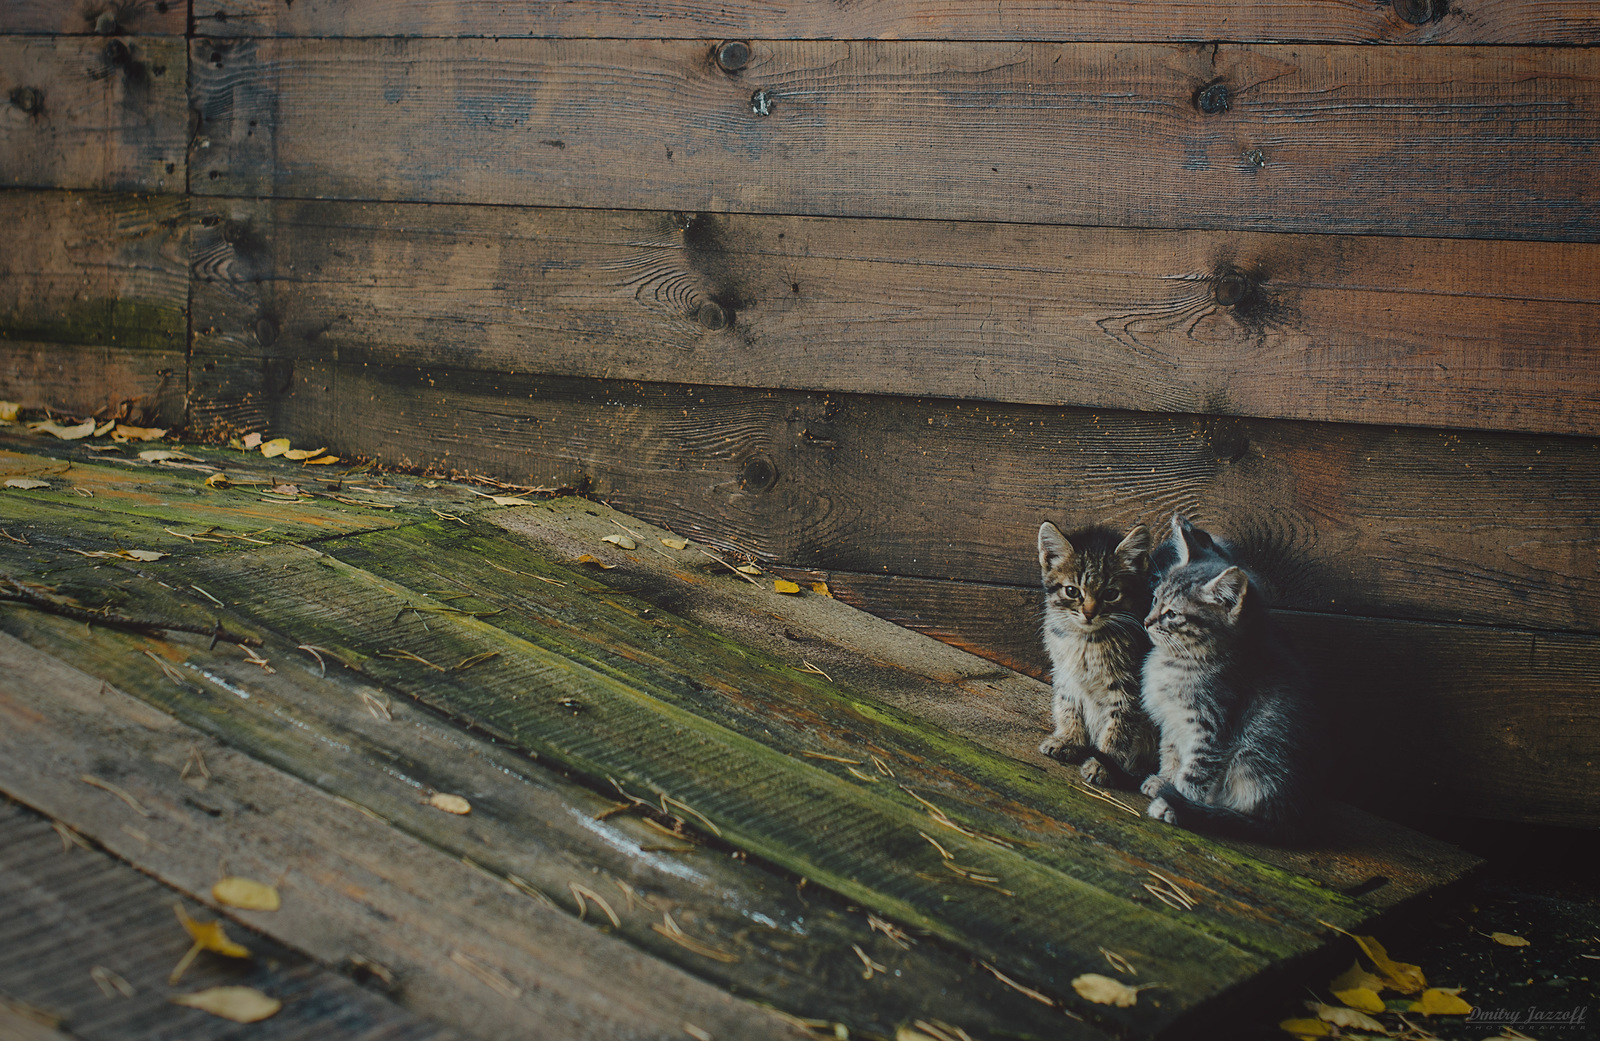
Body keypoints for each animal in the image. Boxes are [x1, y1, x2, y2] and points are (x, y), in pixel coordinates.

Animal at [1043, 521, 1158, 789]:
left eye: (1110, 594)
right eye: (1072, 591)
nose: (1089, 613)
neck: (1086, 641)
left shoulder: (1129, 688)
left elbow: (1119, 728)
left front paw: (1104, 764)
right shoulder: (1065, 673)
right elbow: (1068, 704)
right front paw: (1070, 740)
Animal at [1139, 518, 1312, 844]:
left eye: (1172, 615)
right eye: (1154, 599)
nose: (1146, 621)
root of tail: (1294, 819)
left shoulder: (1213, 732)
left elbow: (1194, 773)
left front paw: (1174, 804)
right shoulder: (1173, 722)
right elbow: (1171, 753)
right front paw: (1164, 782)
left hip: (1253, 754)